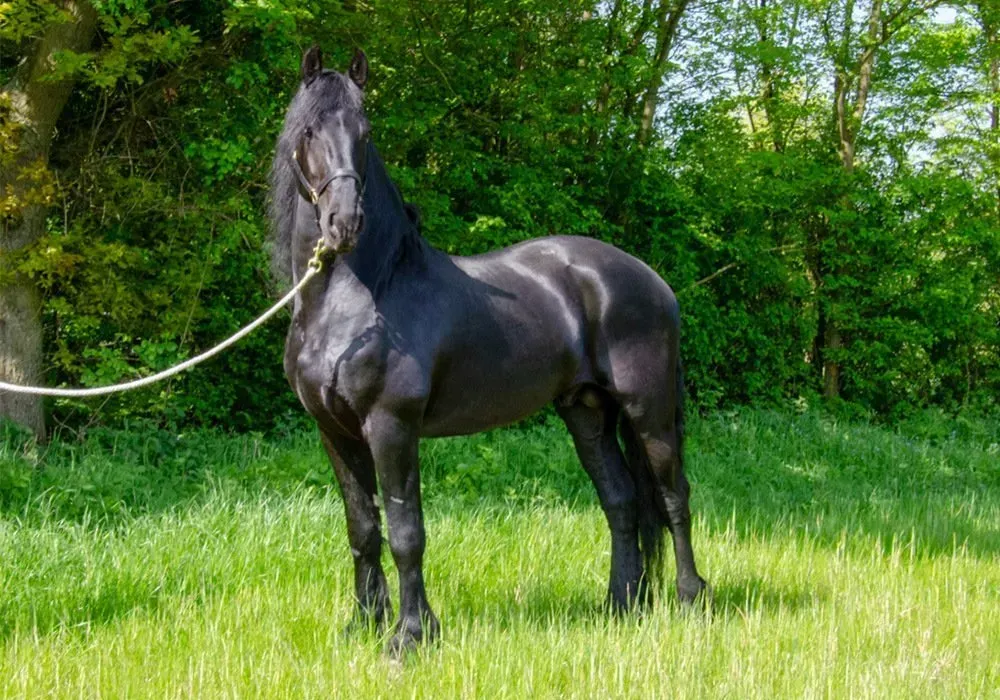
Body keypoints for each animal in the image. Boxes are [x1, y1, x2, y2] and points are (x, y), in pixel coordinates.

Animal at [271, 46, 707, 653]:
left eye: (365, 131)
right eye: (309, 130)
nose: (345, 222)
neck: (361, 293)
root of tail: (653, 281)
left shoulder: (391, 426)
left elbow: (405, 531)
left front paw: (411, 635)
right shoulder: (335, 432)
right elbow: (363, 529)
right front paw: (363, 624)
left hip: (650, 411)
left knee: (671, 498)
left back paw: (690, 599)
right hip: (587, 412)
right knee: (621, 501)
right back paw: (621, 604)